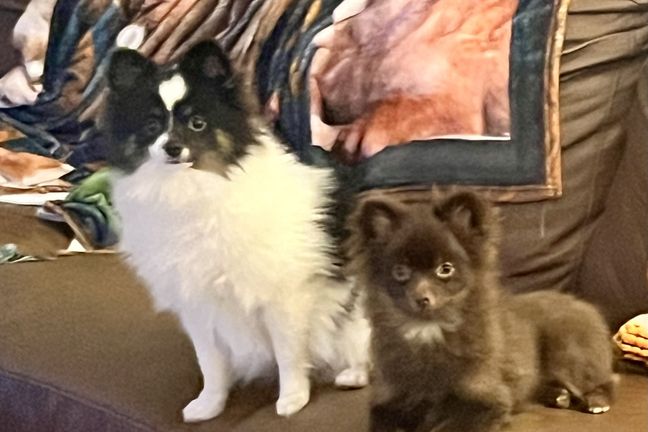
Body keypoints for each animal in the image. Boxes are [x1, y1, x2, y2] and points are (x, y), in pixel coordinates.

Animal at [102, 41, 370, 422]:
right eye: (152, 125)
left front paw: (292, 399)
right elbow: (210, 363)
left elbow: (289, 354)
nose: (172, 147)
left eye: (197, 123)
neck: (190, 189)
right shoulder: (198, 307)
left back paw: (353, 374)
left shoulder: (284, 296)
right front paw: (209, 404)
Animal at [347, 191, 615, 432]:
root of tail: (582, 304)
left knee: (606, 379)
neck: (429, 331)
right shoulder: (391, 399)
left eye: (445, 269)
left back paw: (596, 401)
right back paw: (558, 395)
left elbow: (449, 425)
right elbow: (383, 421)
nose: (421, 299)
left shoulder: (486, 400)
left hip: (568, 351)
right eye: (400, 272)